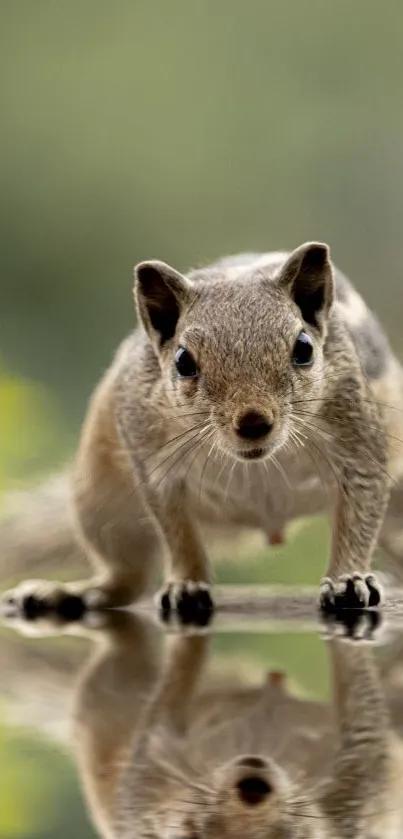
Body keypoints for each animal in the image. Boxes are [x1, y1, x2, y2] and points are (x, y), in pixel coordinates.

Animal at [2, 240, 403, 612]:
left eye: (304, 348)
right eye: (183, 360)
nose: (253, 422)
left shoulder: (357, 442)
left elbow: (359, 515)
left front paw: (348, 579)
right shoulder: (154, 464)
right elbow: (178, 533)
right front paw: (187, 584)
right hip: (101, 505)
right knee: (126, 578)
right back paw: (69, 593)